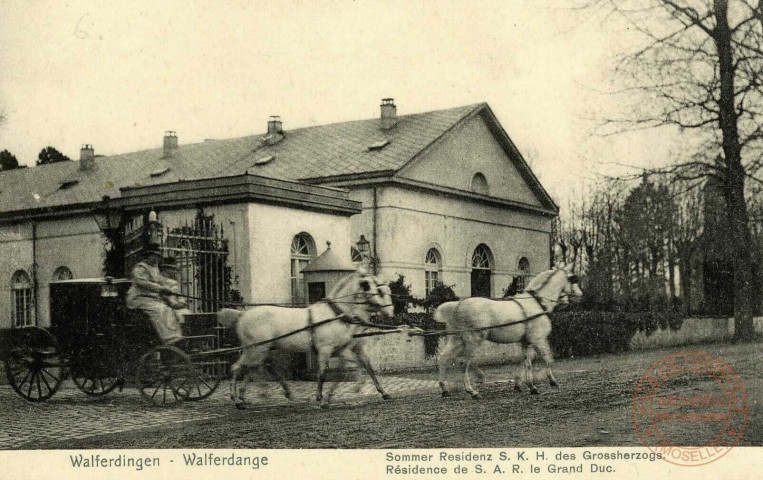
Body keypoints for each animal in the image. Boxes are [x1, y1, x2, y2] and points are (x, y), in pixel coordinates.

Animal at [216, 272, 390, 406]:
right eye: (368, 286)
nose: (385, 309)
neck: (335, 314)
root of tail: (242, 315)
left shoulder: (339, 350)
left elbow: (365, 365)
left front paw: (380, 391)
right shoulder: (326, 350)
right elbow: (323, 373)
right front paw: (321, 399)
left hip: (260, 349)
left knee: (255, 368)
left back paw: (248, 396)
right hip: (256, 349)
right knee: (239, 368)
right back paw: (237, 399)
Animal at [438, 262, 580, 398]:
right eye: (573, 279)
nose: (580, 294)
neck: (537, 302)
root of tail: (458, 305)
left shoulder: (526, 342)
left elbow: (525, 362)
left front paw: (525, 385)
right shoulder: (538, 340)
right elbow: (547, 359)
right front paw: (551, 381)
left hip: (457, 340)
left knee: (443, 358)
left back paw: (445, 390)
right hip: (473, 341)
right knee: (463, 363)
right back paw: (472, 391)